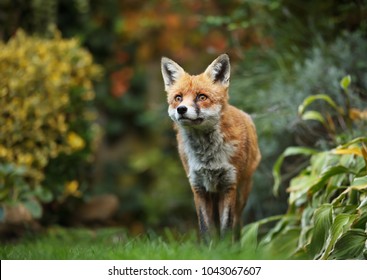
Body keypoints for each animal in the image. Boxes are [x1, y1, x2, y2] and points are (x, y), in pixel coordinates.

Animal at [161, 54, 262, 241]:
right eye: (178, 98)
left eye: (202, 97)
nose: (181, 109)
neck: (207, 157)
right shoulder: (198, 187)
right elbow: (206, 229)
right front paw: (209, 247)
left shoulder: (229, 185)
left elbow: (226, 227)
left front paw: (225, 248)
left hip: (242, 194)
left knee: (238, 224)